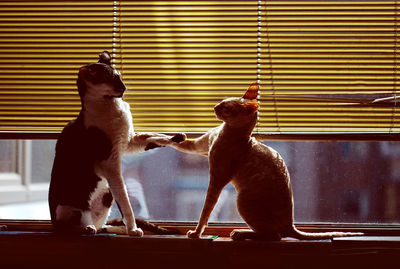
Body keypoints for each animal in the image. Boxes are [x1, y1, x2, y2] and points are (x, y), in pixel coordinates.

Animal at [48, 50, 184, 234]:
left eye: (119, 76)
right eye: (111, 78)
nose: (124, 87)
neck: (113, 105)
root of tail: (52, 224)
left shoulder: (129, 141)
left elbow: (154, 137)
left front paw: (177, 138)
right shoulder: (111, 164)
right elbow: (126, 204)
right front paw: (133, 229)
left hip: (106, 195)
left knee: (104, 226)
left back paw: (114, 229)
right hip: (78, 204)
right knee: (76, 223)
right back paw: (88, 228)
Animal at [172, 82, 362, 240]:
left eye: (226, 108)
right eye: (222, 101)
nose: (214, 107)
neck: (226, 131)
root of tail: (291, 225)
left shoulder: (217, 179)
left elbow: (206, 210)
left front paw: (196, 233)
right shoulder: (198, 147)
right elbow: (178, 143)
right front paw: (170, 136)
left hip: (242, 200)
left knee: (274, 236)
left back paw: (241, 233)